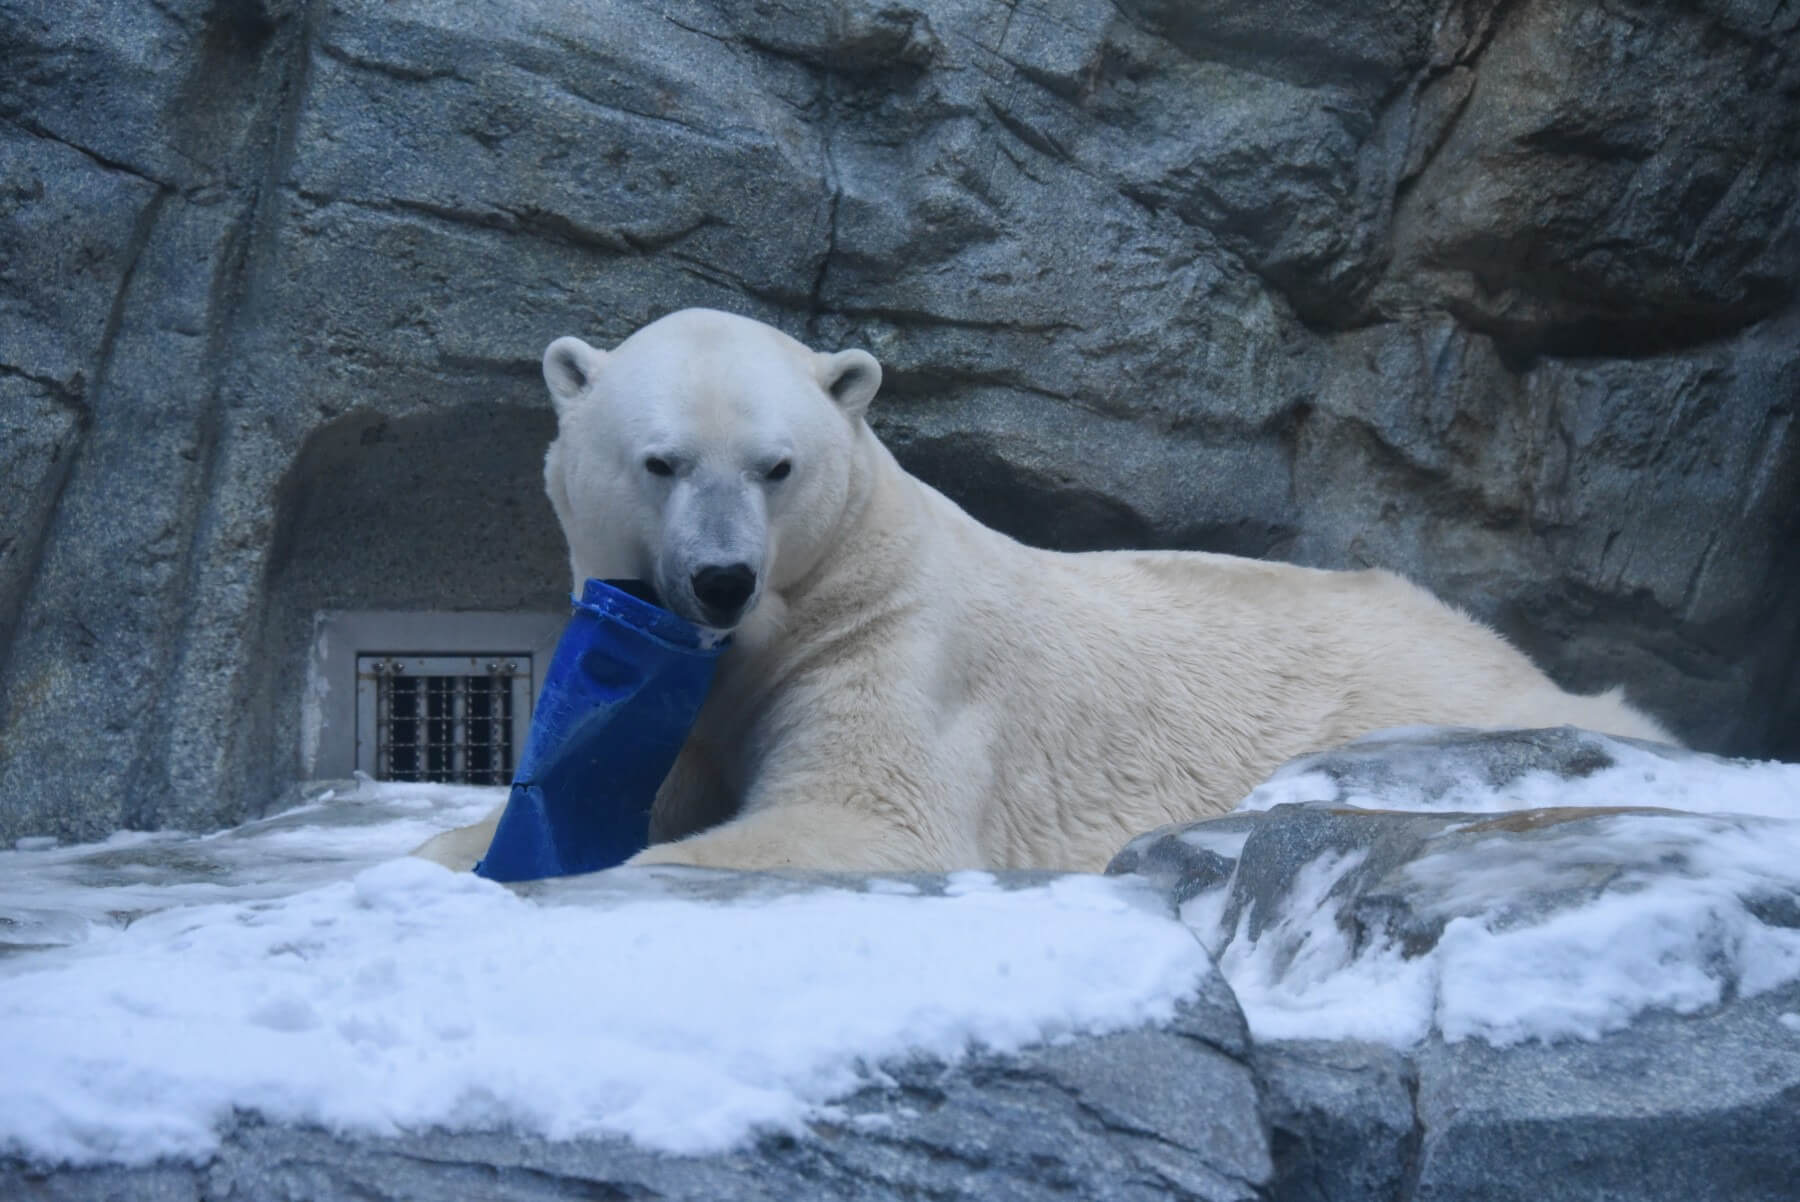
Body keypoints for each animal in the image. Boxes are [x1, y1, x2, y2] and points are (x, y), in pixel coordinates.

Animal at [417, 309, 1670, 874]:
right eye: (659, 460)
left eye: (778, 465)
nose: (721, 579)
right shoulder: (697, 680)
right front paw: (454, 849)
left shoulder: (891, 641)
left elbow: (863, 816)